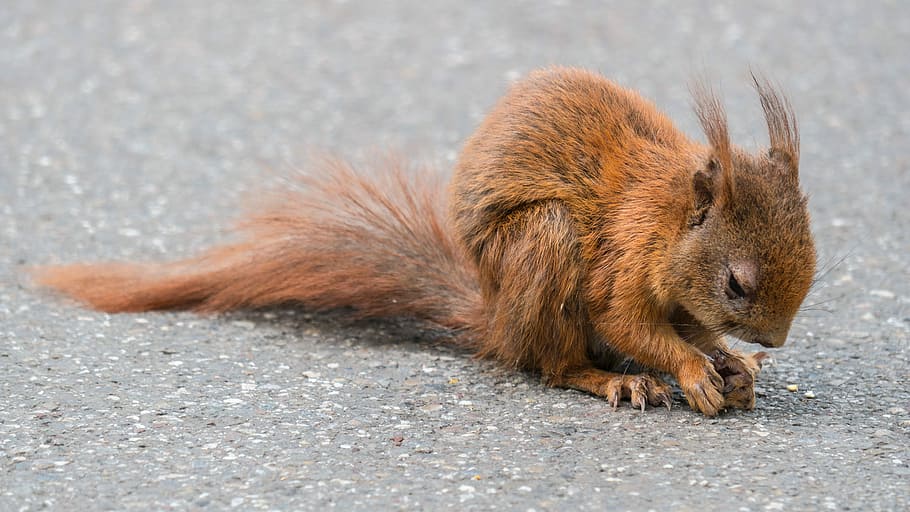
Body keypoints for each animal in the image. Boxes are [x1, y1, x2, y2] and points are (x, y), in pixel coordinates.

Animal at [33, 67, 816, 416]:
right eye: (737, 283)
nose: (776, 340)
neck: (668, 219)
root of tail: (496, 318)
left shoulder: (679, 296)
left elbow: (693, 331)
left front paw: (732, 364)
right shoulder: (623, 257)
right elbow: (628, 321)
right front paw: (691, 372)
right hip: (547, 245)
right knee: (551, 363)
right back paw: (609, 378)